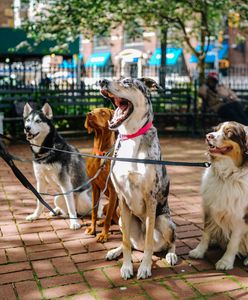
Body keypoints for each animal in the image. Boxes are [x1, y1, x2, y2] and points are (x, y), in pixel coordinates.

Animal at [84, 107, 118, 241]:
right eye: (92, 110)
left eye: (103, 112)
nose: (89, 114)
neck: (101, 153)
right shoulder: (95, 187)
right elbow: (94, 212)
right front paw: (92, 229)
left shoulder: (113, 190)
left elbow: (108, 217)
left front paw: (103, 235)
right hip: (105, 206)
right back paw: (101, 222)